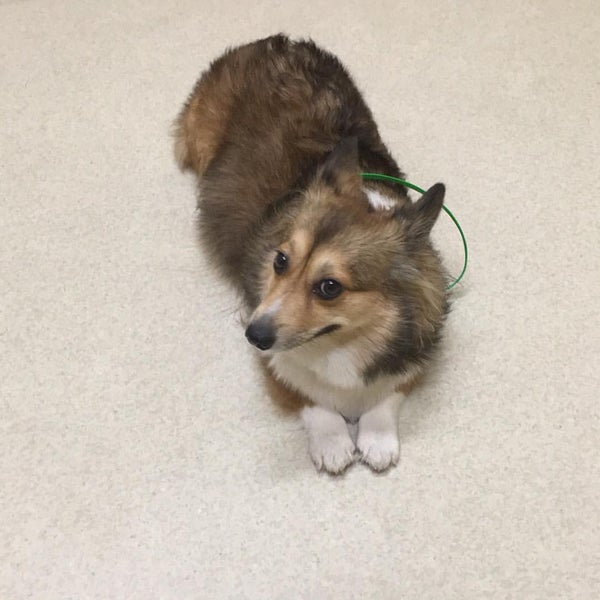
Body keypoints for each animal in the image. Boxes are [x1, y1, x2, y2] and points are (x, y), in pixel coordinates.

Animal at [174, 35, 448, 474]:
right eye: (280, 261)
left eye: (329, 287)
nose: (253, 335)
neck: (340, 344)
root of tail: (269, 41)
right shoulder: (274, 357)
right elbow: (307, 395)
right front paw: (334, 442)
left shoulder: (414, 354)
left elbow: (388, 393)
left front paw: (376, 438)